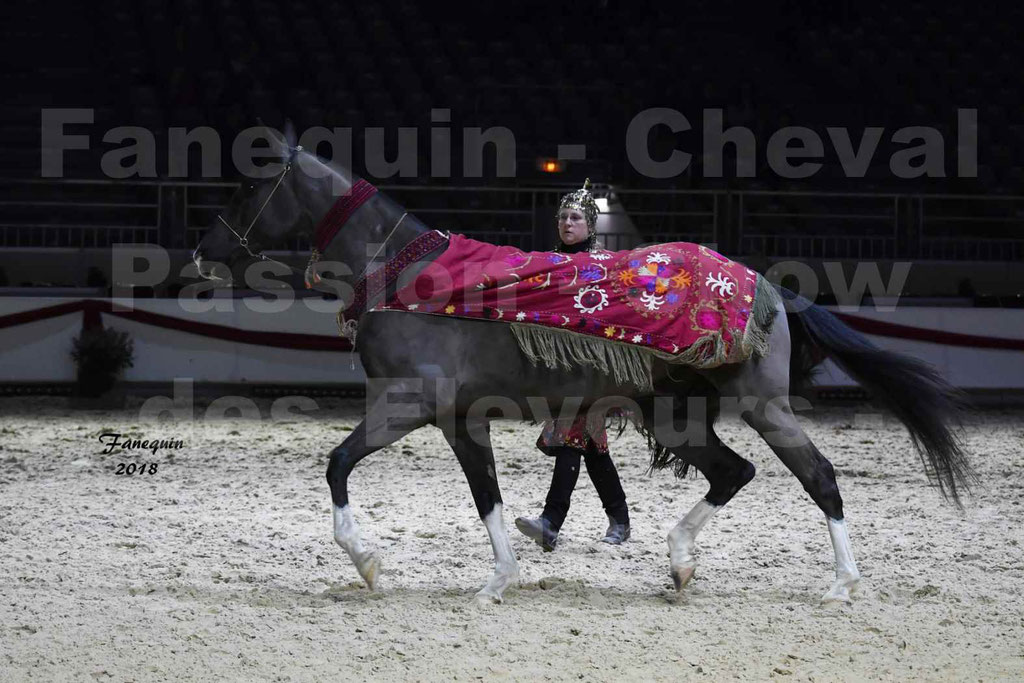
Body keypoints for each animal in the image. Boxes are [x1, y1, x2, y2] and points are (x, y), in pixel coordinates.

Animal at [195, 125, 970, 606]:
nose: (204, 252)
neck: (408, 274)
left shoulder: (406, 405)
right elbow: (487, 496)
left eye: (246, 188)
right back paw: (679, 563)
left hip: (762, 407)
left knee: (820, 476)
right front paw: (498, 580)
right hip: (677, 416)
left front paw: (366, 560)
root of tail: (772, 290)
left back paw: (840, 583)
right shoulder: (458, 419)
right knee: (734, 472)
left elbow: (336, 464)